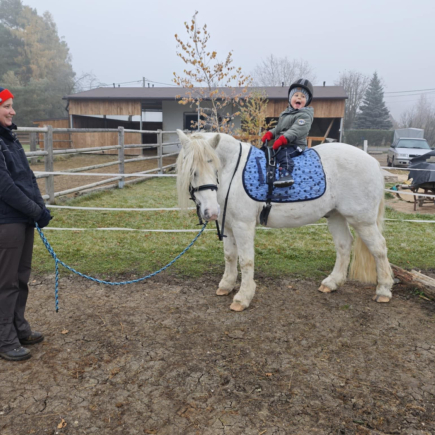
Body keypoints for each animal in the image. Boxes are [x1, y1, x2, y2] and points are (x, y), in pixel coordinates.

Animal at [177, 131, 396, 312]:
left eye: (214, 166)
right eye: (191, 171)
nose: (210, 212)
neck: (233, 172)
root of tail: (373, 162)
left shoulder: (243, 225)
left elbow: (245, 260)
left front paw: (243, 297)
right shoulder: (229, 225)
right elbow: (230, 256)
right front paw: (226, 285)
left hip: (362, 221)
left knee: (379, 248)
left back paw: (384, 290)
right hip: (336, 216)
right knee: (344, 245)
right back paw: (331, 283)